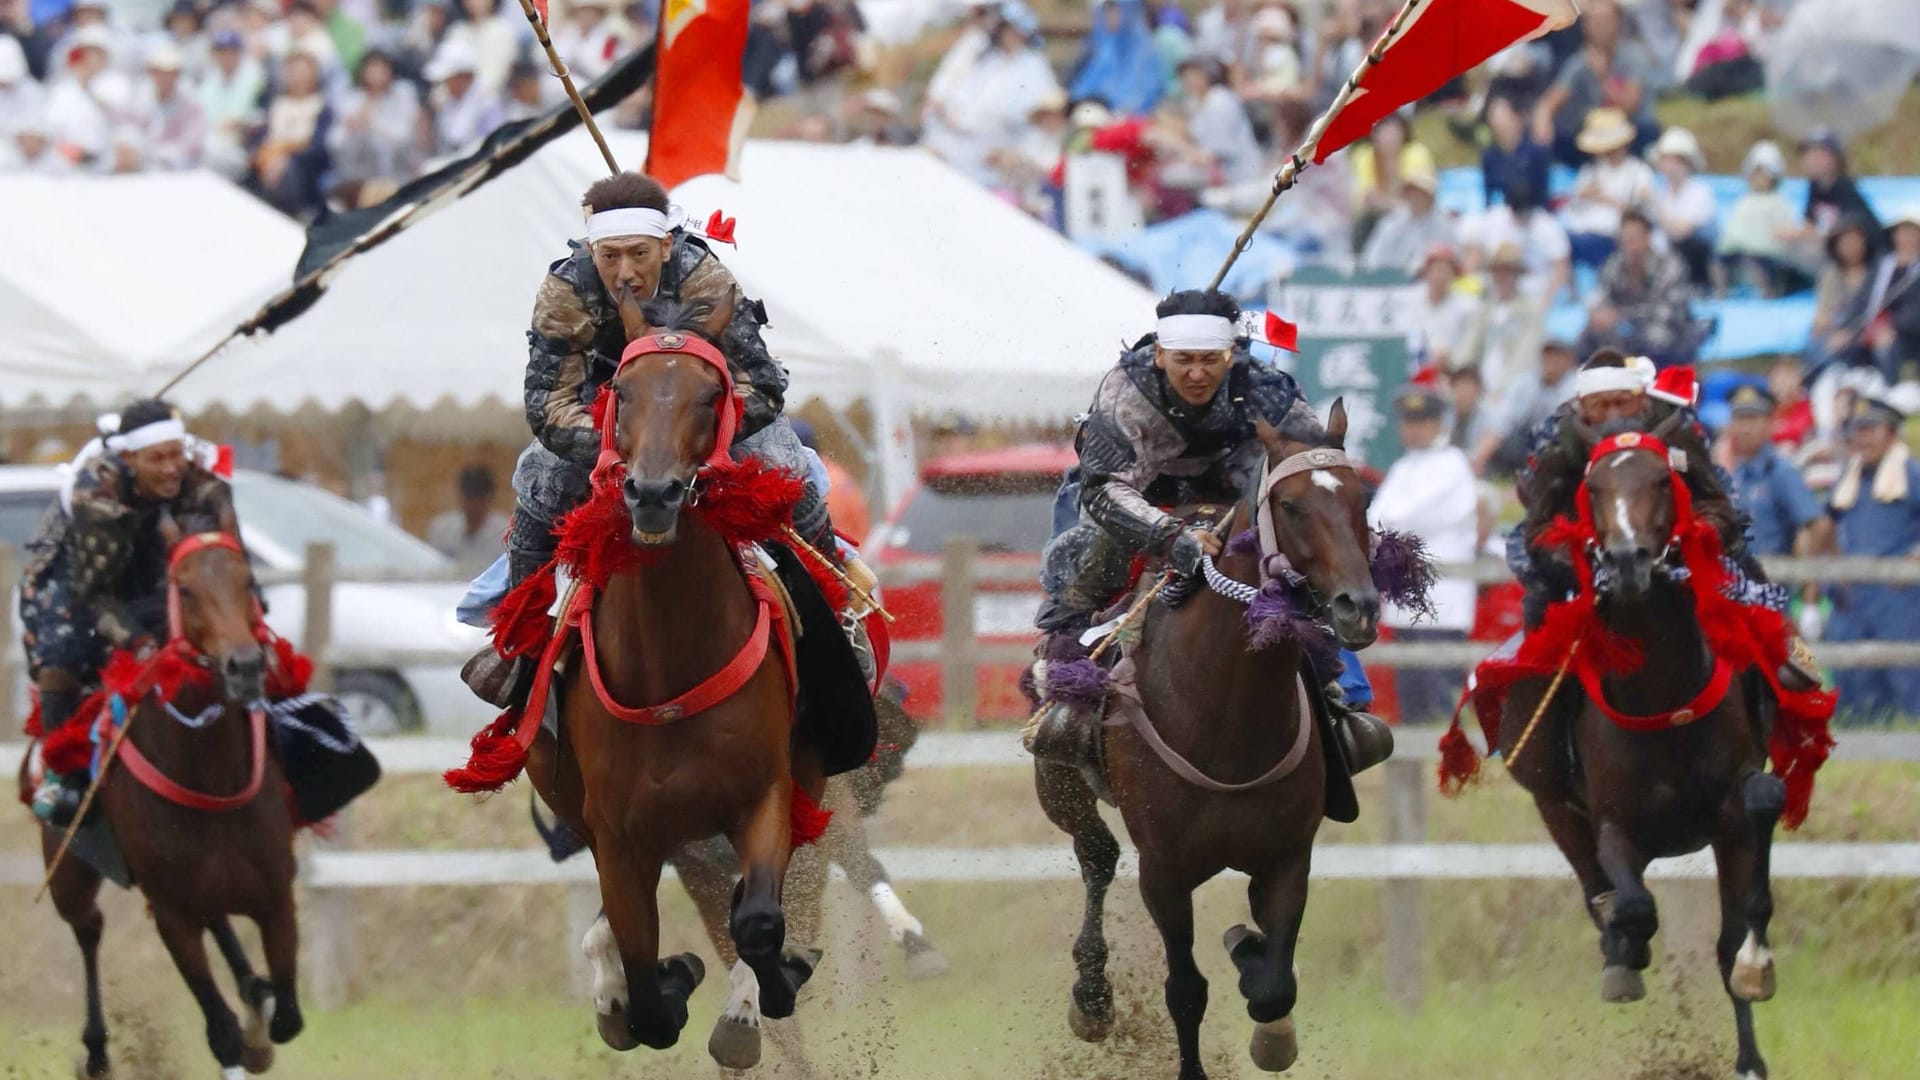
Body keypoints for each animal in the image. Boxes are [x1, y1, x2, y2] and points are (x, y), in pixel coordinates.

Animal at [37, 511, 303, 1076]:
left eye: (248, 580)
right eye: (185, 589)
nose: (245, 666)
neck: (209, 774)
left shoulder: (275, 894)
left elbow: (286, 1016)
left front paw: (260, 1020)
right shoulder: (172, 913)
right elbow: (221, 1031)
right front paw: (242, 1034)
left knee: (220, 926)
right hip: (69, 870)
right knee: (88, 927)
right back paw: (96, 1050)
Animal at [522, 315, 829, 1060]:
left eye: (710, 397)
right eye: (623, 393)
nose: (654, 493)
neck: (669, 668)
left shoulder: (766, 795)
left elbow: (757, 921)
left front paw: (766, 992)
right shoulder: (618, 834)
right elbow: (645, 989)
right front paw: (662, 979)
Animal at [1036, 401, 1382, 1076]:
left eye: (1362, 498)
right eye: (1291, 506)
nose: (1358, 607)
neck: (1227, 716)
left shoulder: (1287, 857)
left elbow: (1274, 983)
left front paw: (1261, 993)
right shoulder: (1164, 872)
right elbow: (1186, 991)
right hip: (1059, 784)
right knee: (1097, 856)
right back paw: (1091, 997)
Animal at [1497, 422, 1797, 1076]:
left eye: (1662, 480)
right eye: (1593, 487)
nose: (1628, 559)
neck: (1661, 693)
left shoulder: (1733, 815)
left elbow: (1743, 904)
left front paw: (1756, 979)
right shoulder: (1614, 822)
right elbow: (1631, 903)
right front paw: (1625, 951)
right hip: (1554, 804)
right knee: (1595, 884)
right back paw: (1619, 950)